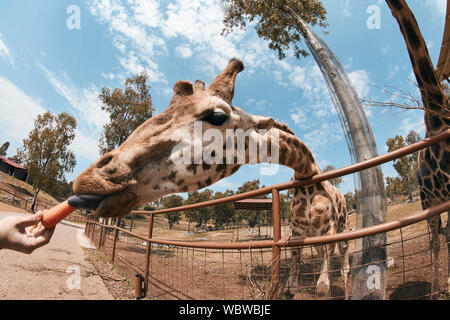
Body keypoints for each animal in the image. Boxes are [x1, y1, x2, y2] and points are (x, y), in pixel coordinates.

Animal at [73, 58, 348, 298]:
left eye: (216, 116)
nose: (90, 180)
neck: (307, 176)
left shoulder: (328, 231)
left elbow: (323, 285)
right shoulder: (298, 234)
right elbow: (294, 275)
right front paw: (291, 288)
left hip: (342, 230)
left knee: (344, 264)